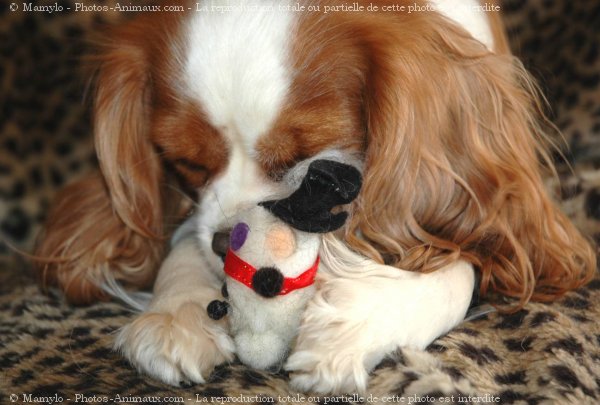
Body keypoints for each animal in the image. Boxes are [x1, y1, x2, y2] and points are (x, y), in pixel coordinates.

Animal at [36, 0, 596, 392]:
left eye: (303, 160)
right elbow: (186, 240)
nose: (226, 243)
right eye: (188, 163)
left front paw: (355, 324)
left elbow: (452, 264)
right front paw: (176, 311)